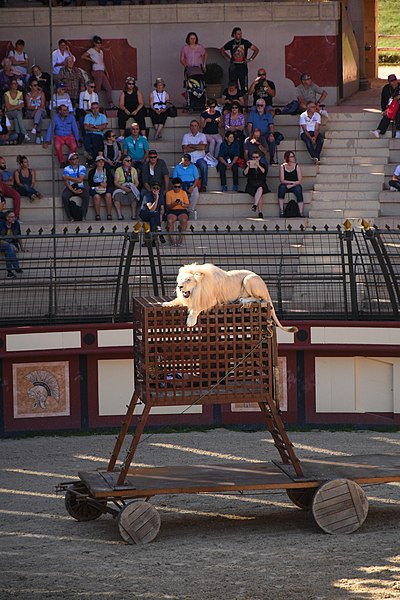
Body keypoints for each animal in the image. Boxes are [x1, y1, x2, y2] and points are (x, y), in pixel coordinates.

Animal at [162, 262, 296, 330]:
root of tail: (264, 284)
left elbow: (196, 309)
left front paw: (191, 321)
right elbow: (176, 300)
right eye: (180, 280)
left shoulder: (212, 300)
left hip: (248, 279)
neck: (197, 290)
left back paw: (243, 299)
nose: (180, 287)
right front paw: (166, 303)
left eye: (189, 280)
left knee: (260, 298)